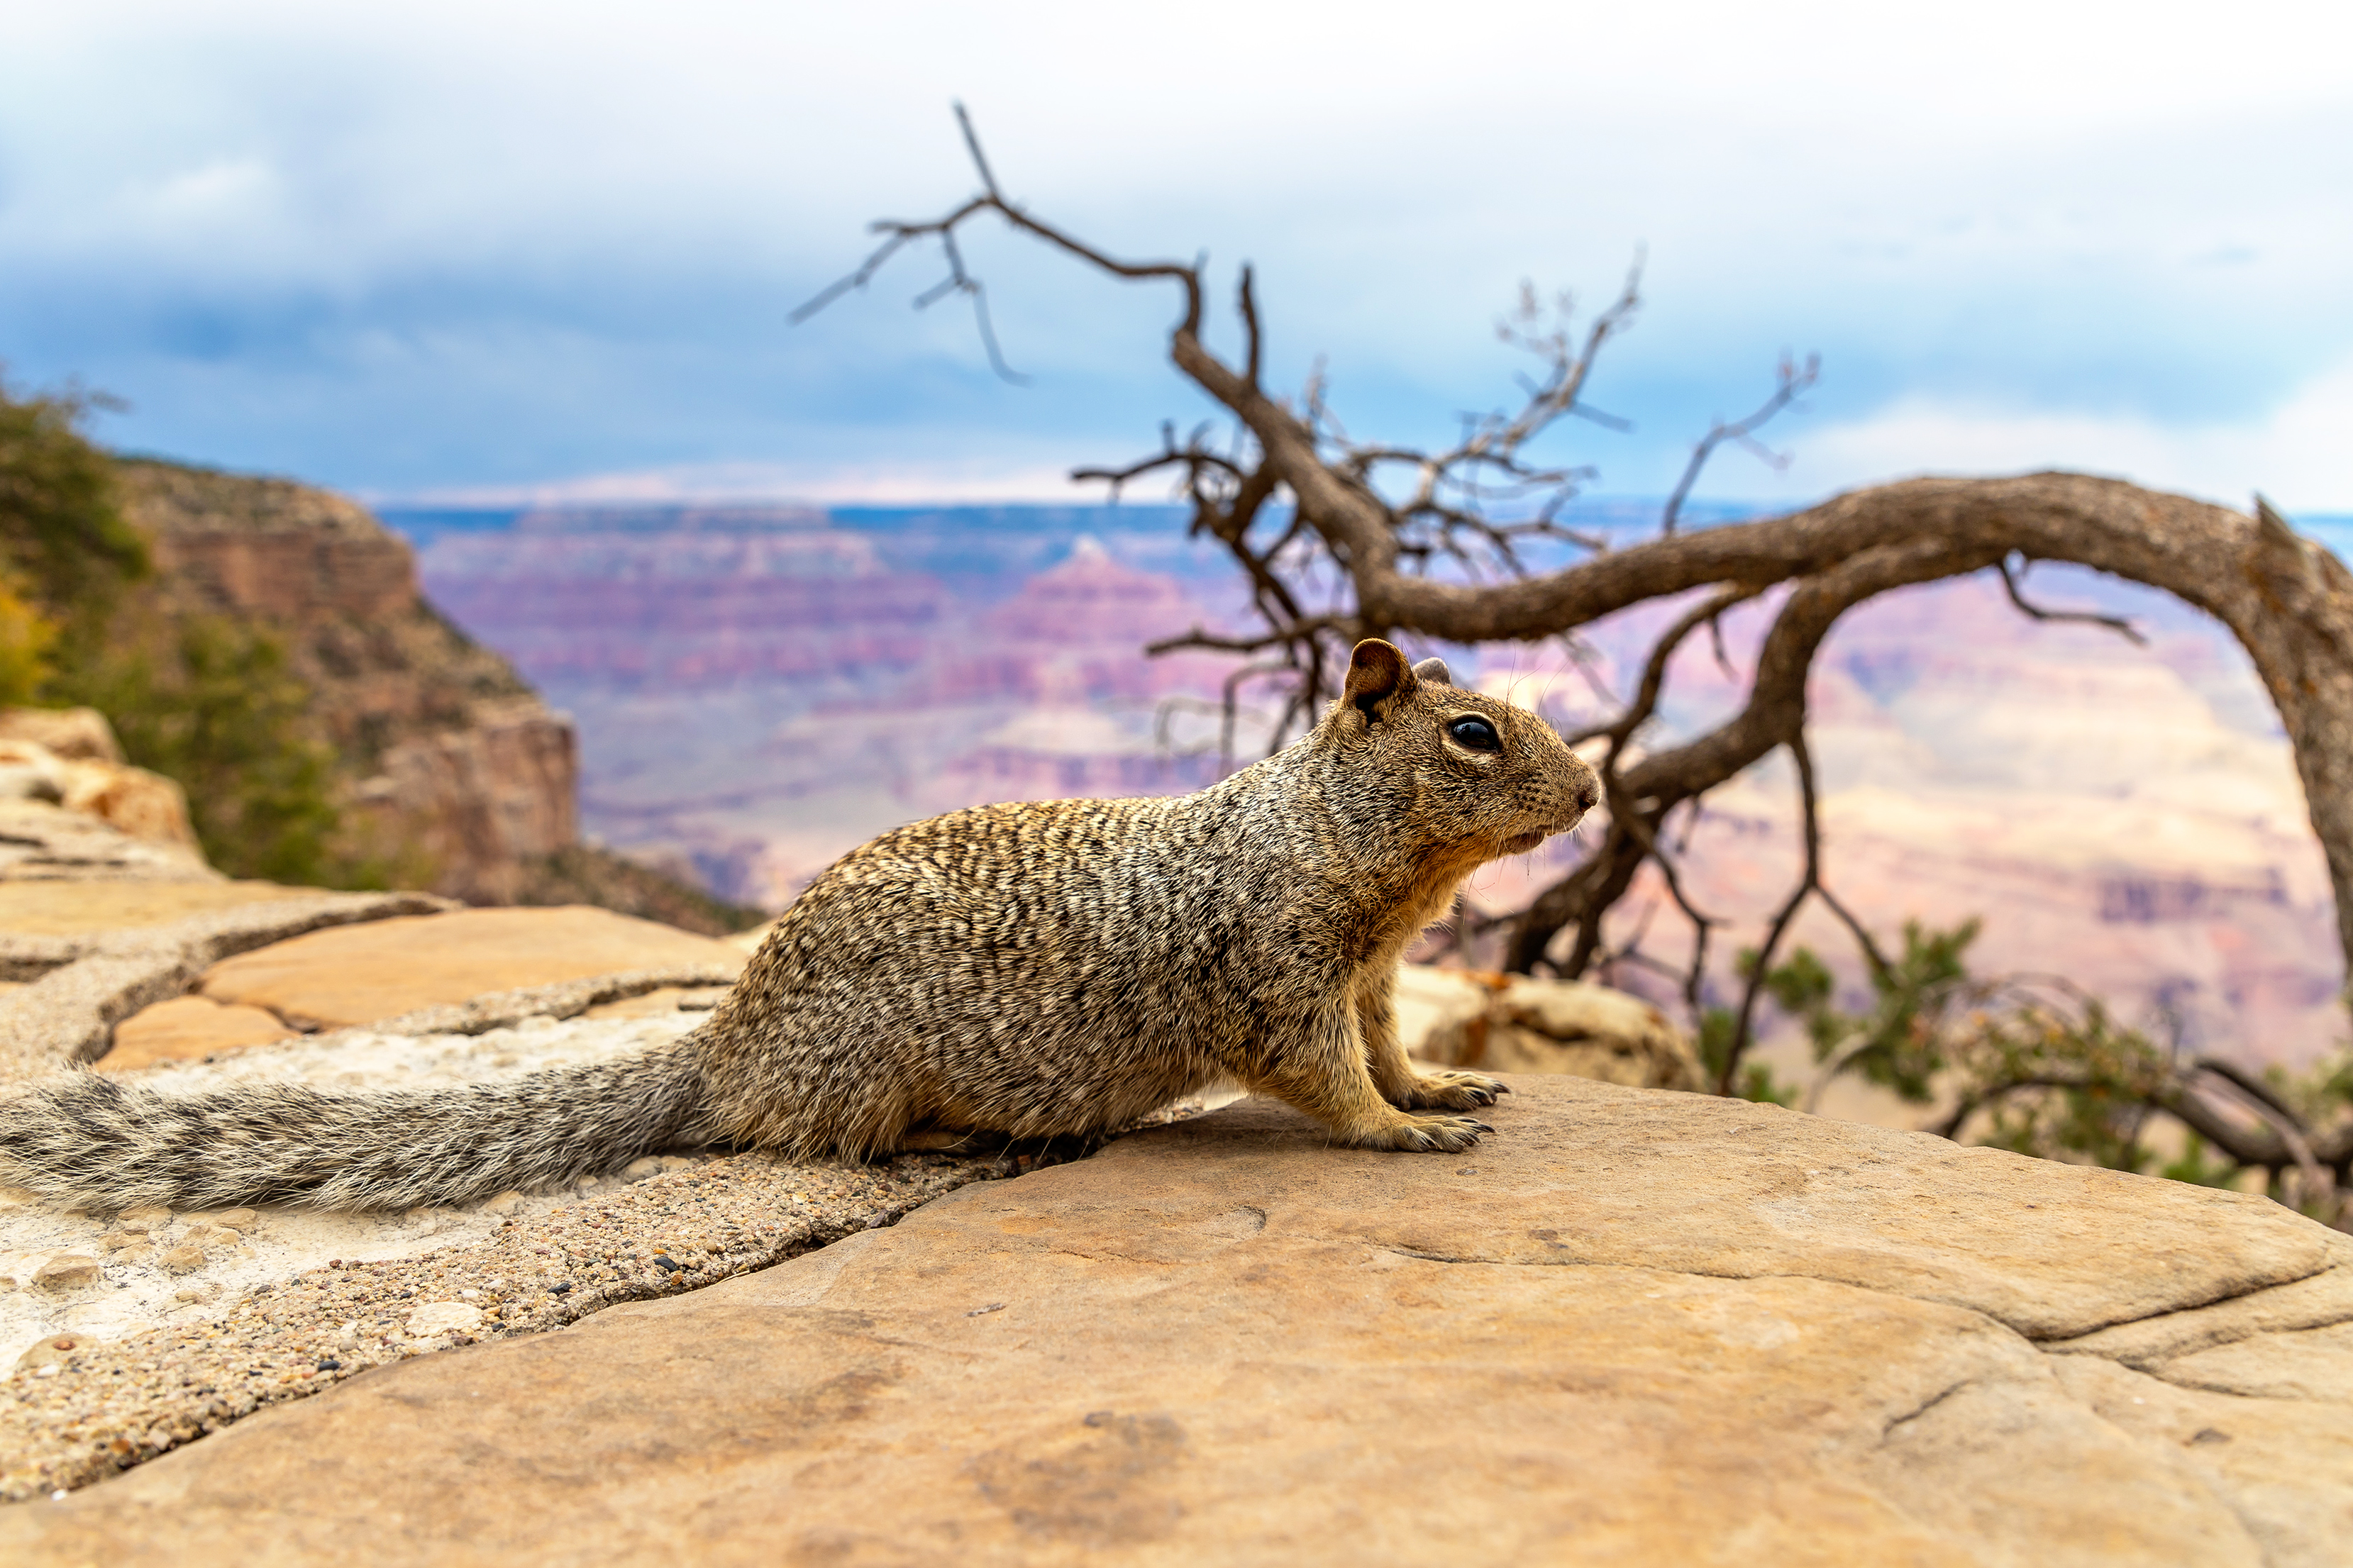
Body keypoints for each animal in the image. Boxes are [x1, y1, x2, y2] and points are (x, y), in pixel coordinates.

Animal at [0, 639, 1599, 1211]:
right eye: (1471, 732)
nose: (1589, 786)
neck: (1341, 850)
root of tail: (722, 1046)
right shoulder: (1277, 975)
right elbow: (1322, 1078)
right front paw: (1395, 1136)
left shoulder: (1370, 974)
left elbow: (1386, 1050)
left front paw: (1440, 1088)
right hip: (863, 1069)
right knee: (805, 1137)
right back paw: (951, 1139)